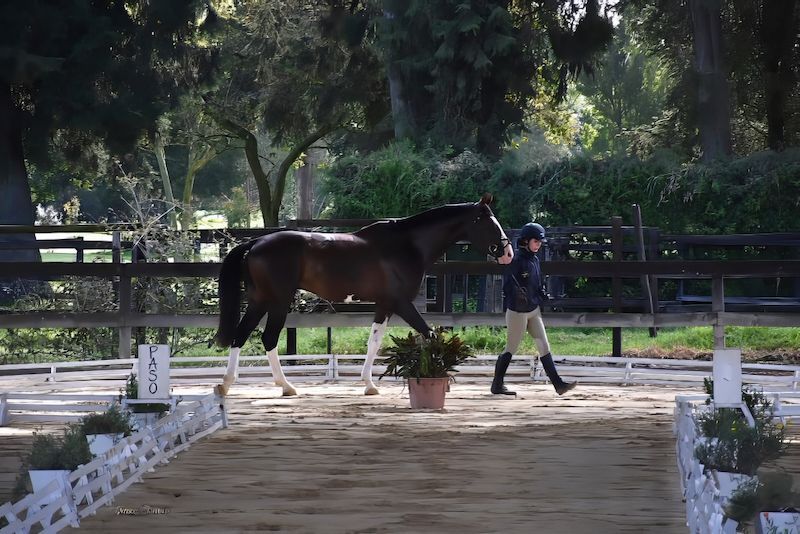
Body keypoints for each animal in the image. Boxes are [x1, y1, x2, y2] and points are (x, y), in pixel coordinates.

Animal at [213, 193, 514, 396]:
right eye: (489, 222)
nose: (508, 253)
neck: (408, 244)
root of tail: (256, 242)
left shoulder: (384, 305)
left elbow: (374, 342)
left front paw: (369, 385)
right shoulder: (402, 303)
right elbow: (428, 334)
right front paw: (439, 372)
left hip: (260, 300)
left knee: (241, 335)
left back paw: (227, 385)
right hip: (278, 301)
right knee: (268, 338)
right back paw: (285, 386)